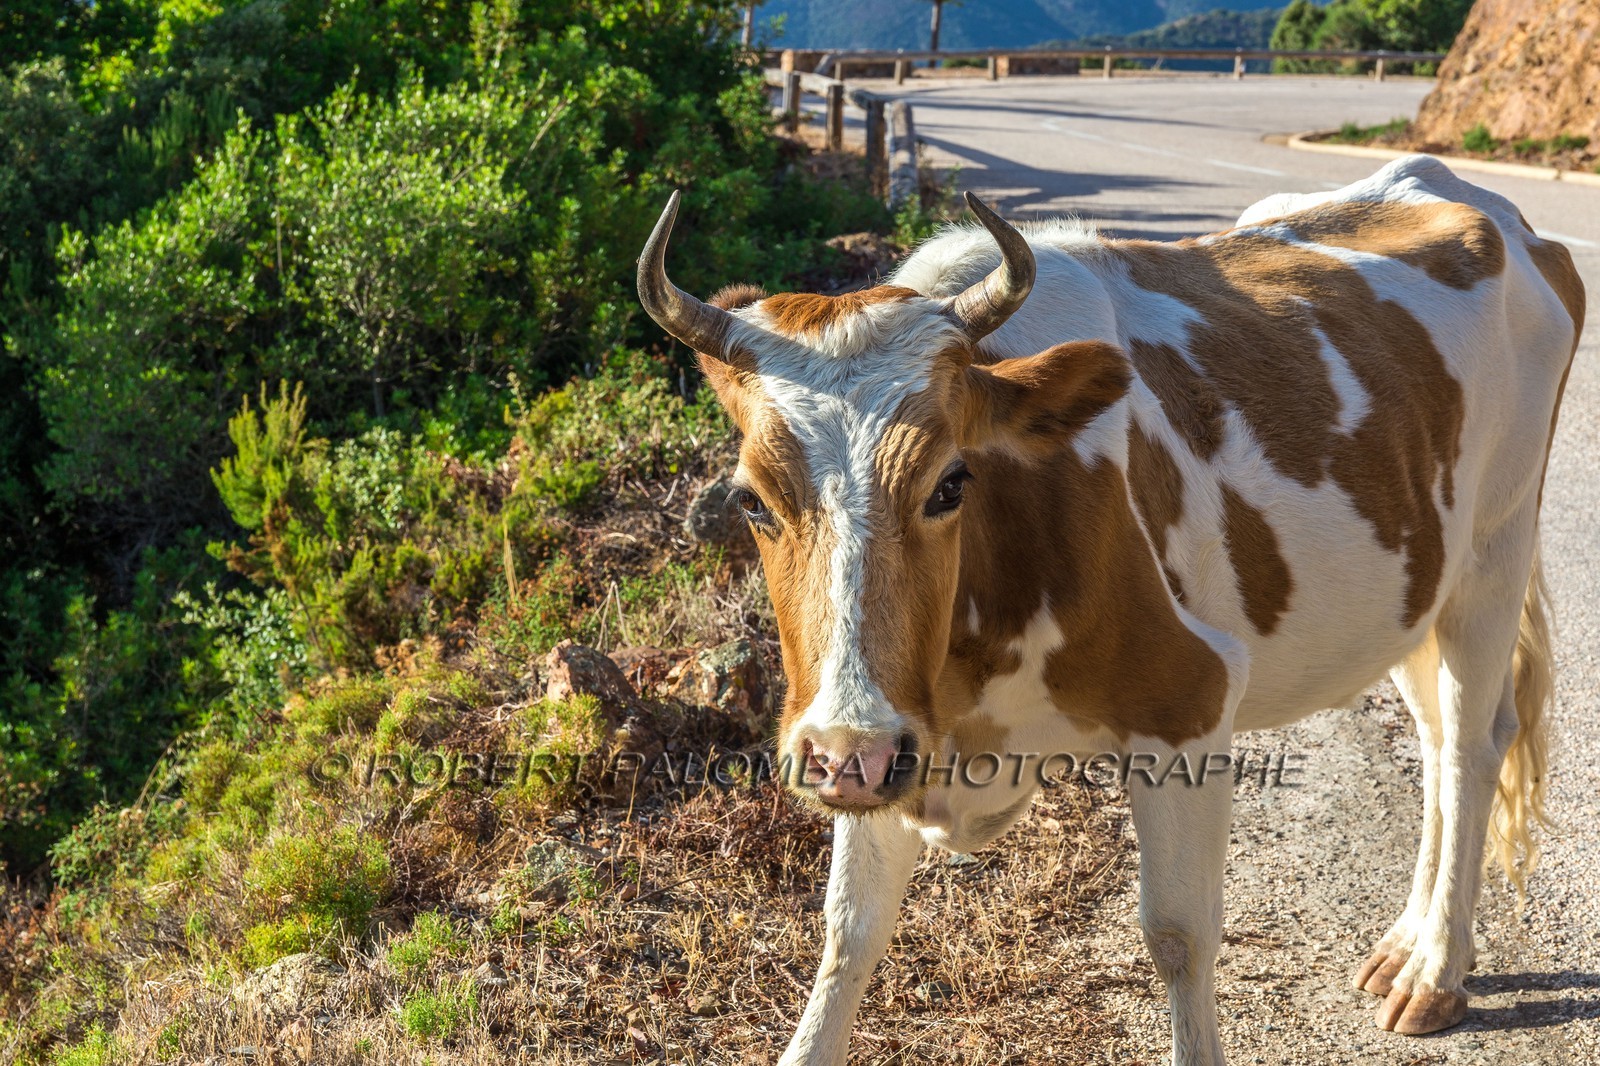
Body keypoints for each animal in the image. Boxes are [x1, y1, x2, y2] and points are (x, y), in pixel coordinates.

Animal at [635, 155, 1584, 1066]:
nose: (845, 754)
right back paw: (1407, 943)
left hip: (1495, 550)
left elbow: (1179, 936)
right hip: (1416, 588)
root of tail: (1455, 188)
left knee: (1472, 745)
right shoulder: (893, 737)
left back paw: (1435, 972)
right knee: (1435, 740)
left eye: (949, 483)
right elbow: (847, 937)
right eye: (752, 500)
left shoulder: (1187, 702)